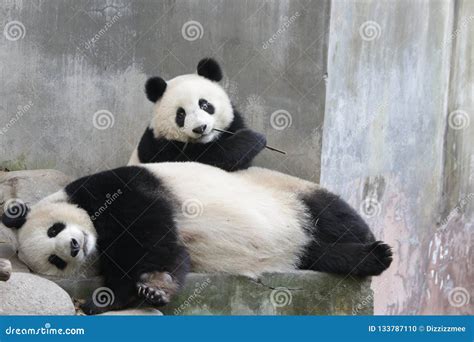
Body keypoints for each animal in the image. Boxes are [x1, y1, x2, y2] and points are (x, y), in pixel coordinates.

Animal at [0, 163, 392, 316]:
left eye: (54, 230)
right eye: (55, 261)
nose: (74, 246)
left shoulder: (114, 189)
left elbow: (150, 232)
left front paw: (148, 287)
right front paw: (115, 296)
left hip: (287, 193)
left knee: (333, 217)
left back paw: (376, 249)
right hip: (298, 243)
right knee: (319, 253)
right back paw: (366, 258)